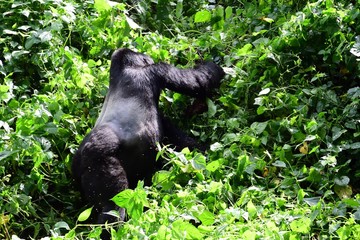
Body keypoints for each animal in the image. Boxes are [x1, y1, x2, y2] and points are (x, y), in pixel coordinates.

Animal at [72, 47, 225, 224]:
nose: (149, 58)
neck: (123, 69)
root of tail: (81, 159)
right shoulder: (157, 71)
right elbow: (198, 81)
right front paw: (216, 67)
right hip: (100, 162)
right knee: (113, 207)